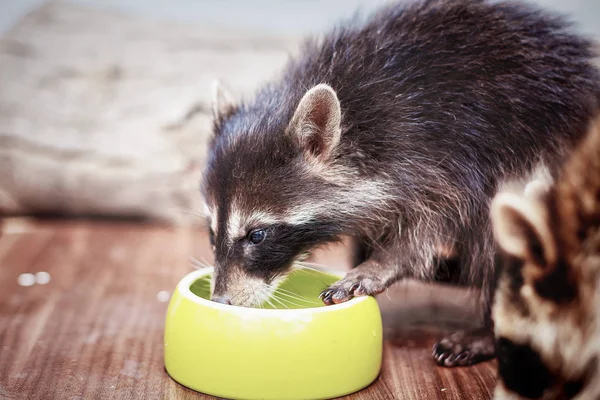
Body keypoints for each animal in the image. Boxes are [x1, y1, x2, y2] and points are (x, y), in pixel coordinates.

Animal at [200, 0, 600, 368]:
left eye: (257, 235)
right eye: (211, 232)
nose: (219, 302)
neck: (353, 130)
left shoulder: (439, 154)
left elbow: (430, 227)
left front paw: (381, 263)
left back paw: (492, 330)